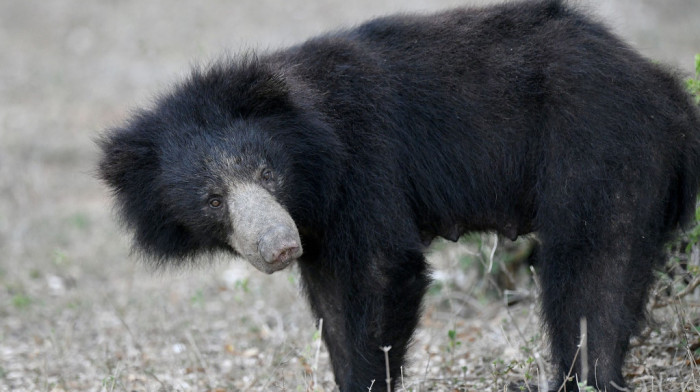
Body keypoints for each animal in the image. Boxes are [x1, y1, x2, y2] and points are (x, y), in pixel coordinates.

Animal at [97, 0, 700, 390]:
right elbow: (334, 305)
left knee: (591, 273)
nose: (279, 246)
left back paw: (587, 379)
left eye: (267, 174)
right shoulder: (320, 224)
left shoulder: (366, 166)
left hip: (600, 148)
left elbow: (381, 272)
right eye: (213, 199)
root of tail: (667, 90)